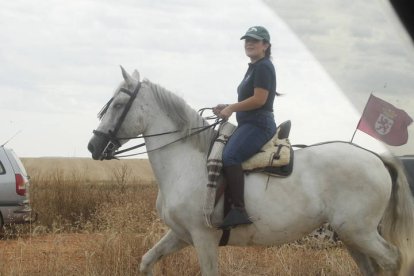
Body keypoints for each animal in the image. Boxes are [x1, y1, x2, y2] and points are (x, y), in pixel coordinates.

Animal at [87, 67, 414, 276]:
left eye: (118, 104)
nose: (93, 145)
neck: (185, 163)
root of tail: (376, 158)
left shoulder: (203, 238)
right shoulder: (180, 234)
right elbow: (147, 261)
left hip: (360, 232)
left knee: (392, 261)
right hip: (351, 236)